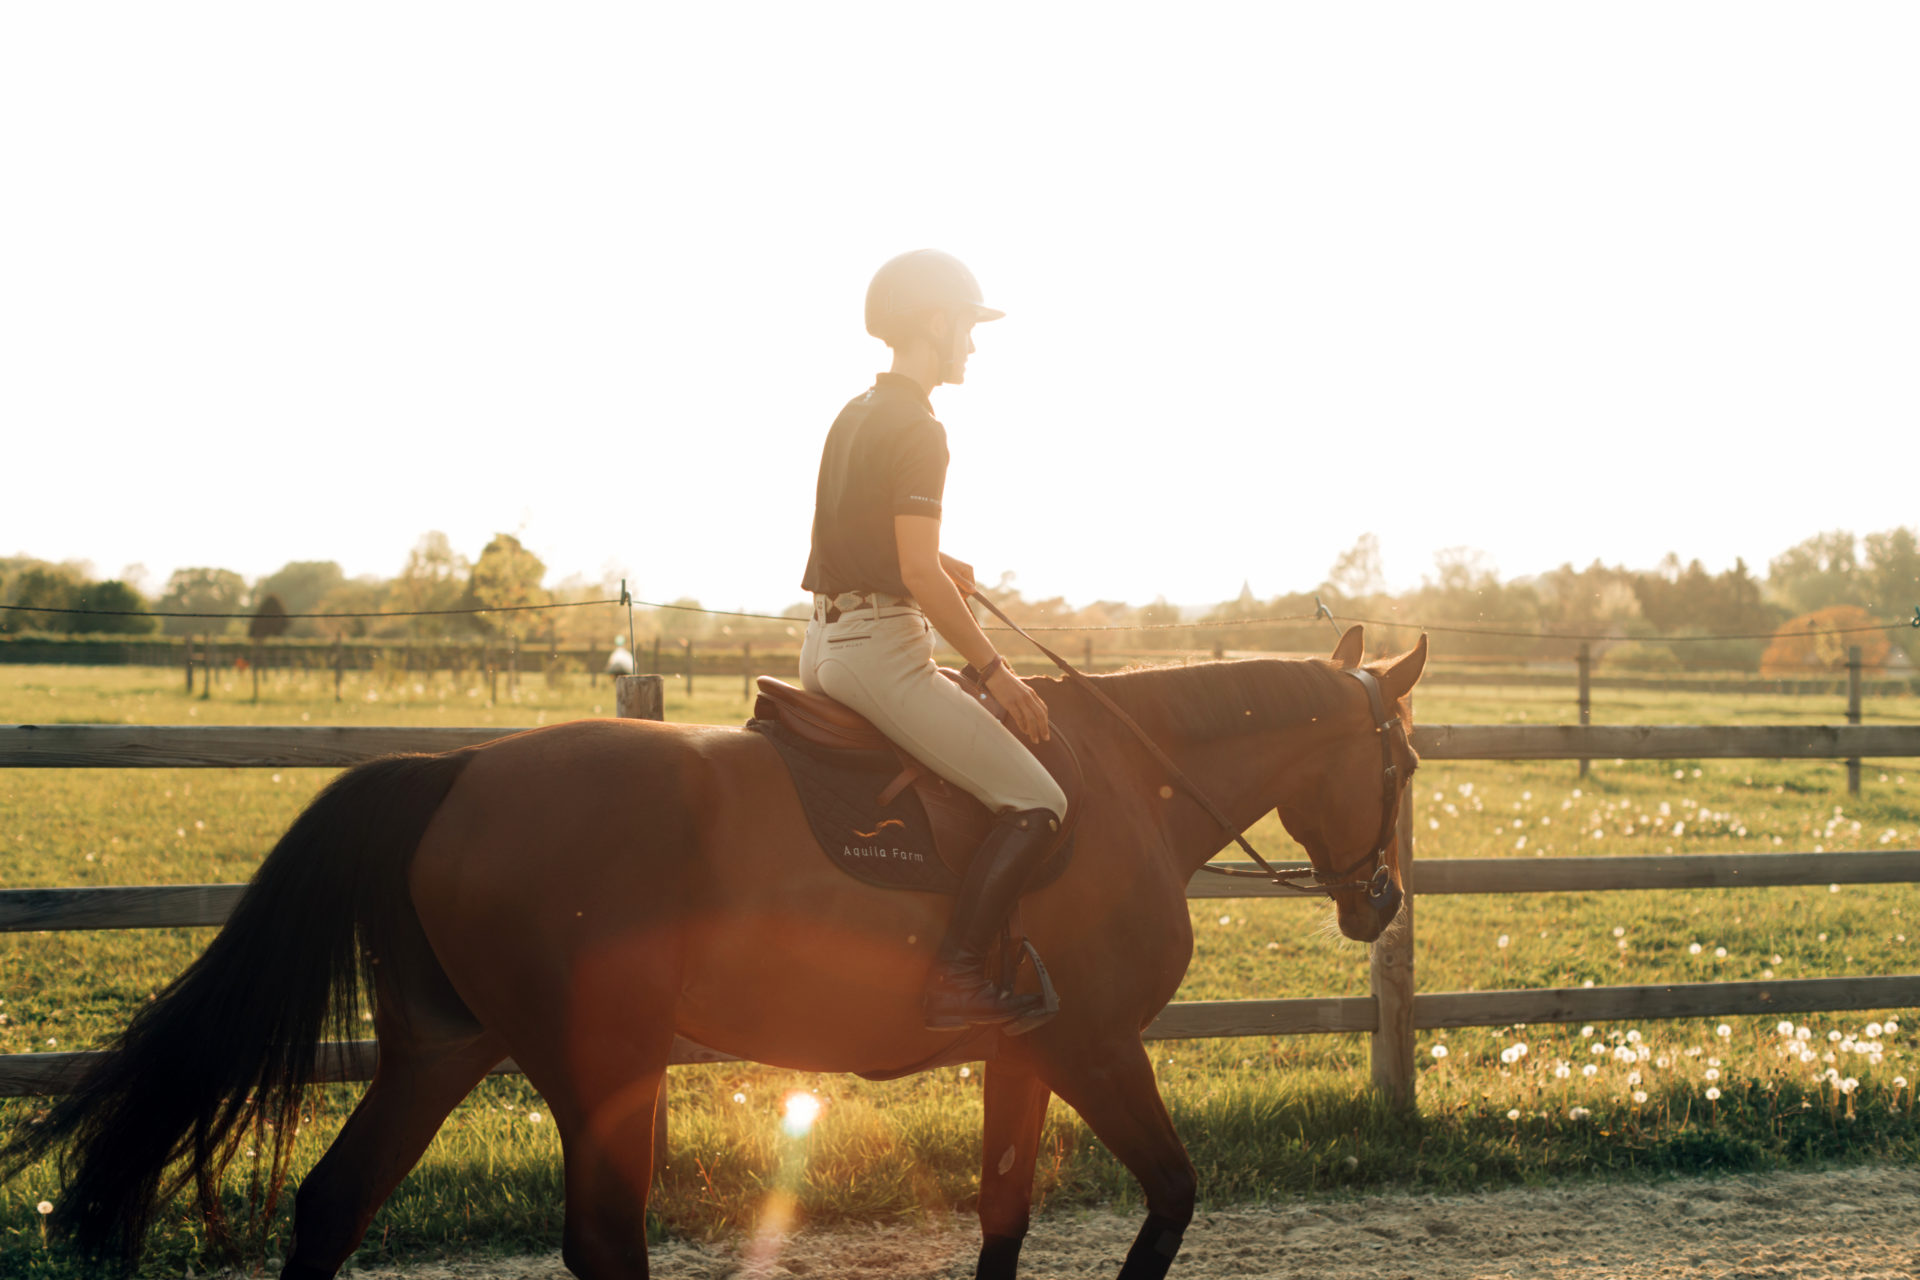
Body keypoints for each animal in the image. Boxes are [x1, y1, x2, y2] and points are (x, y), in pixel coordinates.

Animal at [7, 625, 1428, 1280]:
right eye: (1408, 761)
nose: (1382, 901)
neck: (1124, 783)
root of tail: (459, 767)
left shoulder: (1023, 1052)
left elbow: (1005, 1215)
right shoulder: (1093, 1042)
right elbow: (1174, 1191)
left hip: (444, 1048)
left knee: (333, 1202)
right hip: (601, 1060)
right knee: (602, 1237)